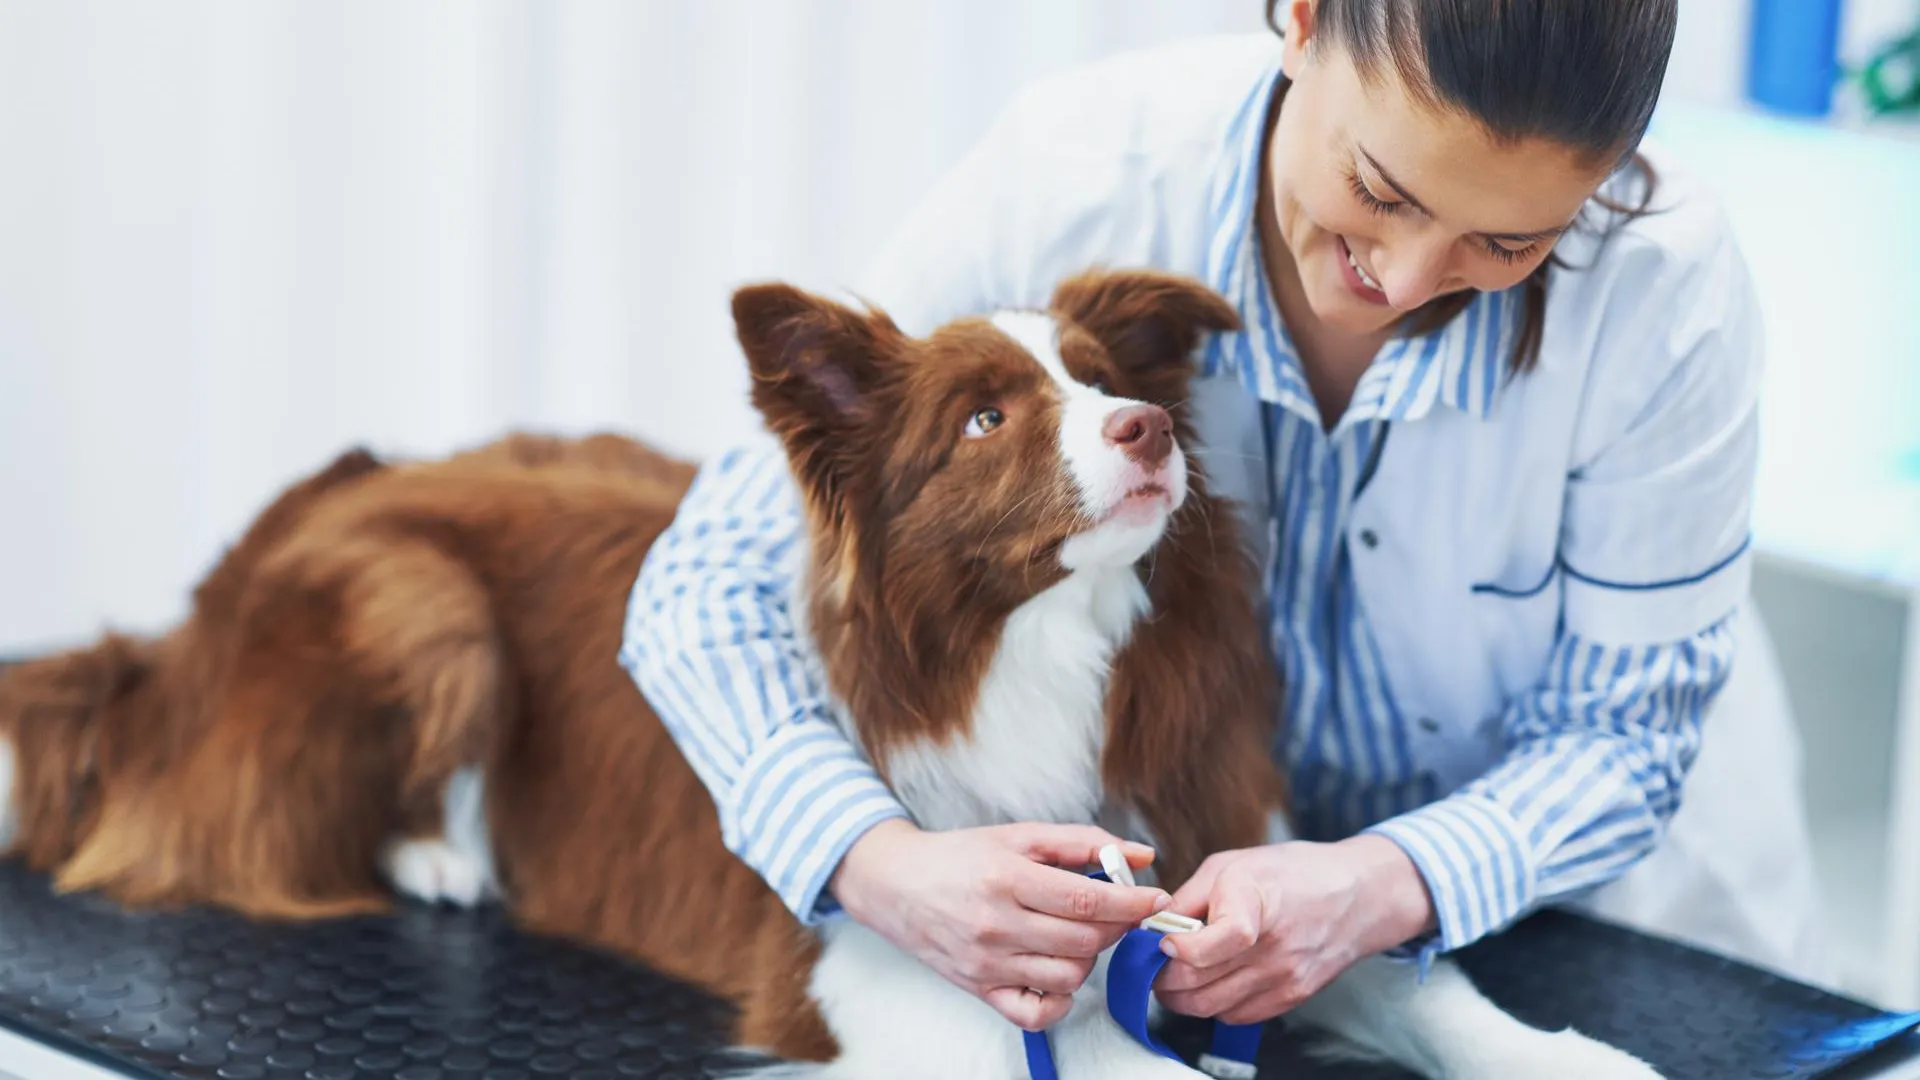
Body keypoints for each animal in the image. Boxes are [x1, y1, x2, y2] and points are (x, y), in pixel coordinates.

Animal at [0, 270, 1658, 1076]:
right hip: (422, 606)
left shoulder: (1202, 852)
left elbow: (1393, 967)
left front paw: (1567, 1064)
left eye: (1101, 379)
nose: (1143, 428)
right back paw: (444, 855)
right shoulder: (876, 965)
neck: (1031, 650)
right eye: (988, 418)